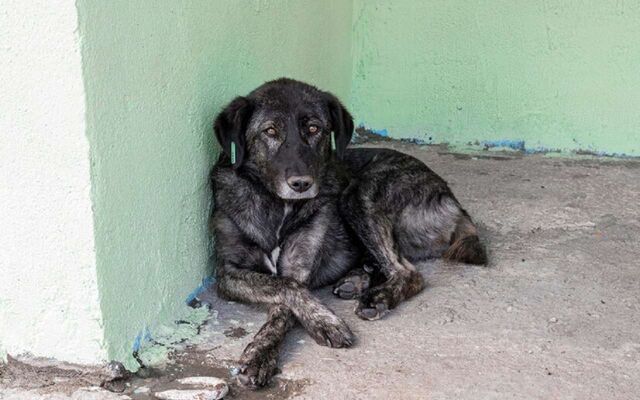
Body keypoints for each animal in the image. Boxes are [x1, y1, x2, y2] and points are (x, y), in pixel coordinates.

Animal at [210, 77, 484, 388]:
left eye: (314, 129)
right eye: (270, 131)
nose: (302, 184)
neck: (277, 206)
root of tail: (453, 200)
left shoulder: (298, 269)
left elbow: (286, 295)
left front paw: (268, 350)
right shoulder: (228, 272)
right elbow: (282, 288)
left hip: (359, 193)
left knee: (407, 272)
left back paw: (378, 296)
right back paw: (357, 279)